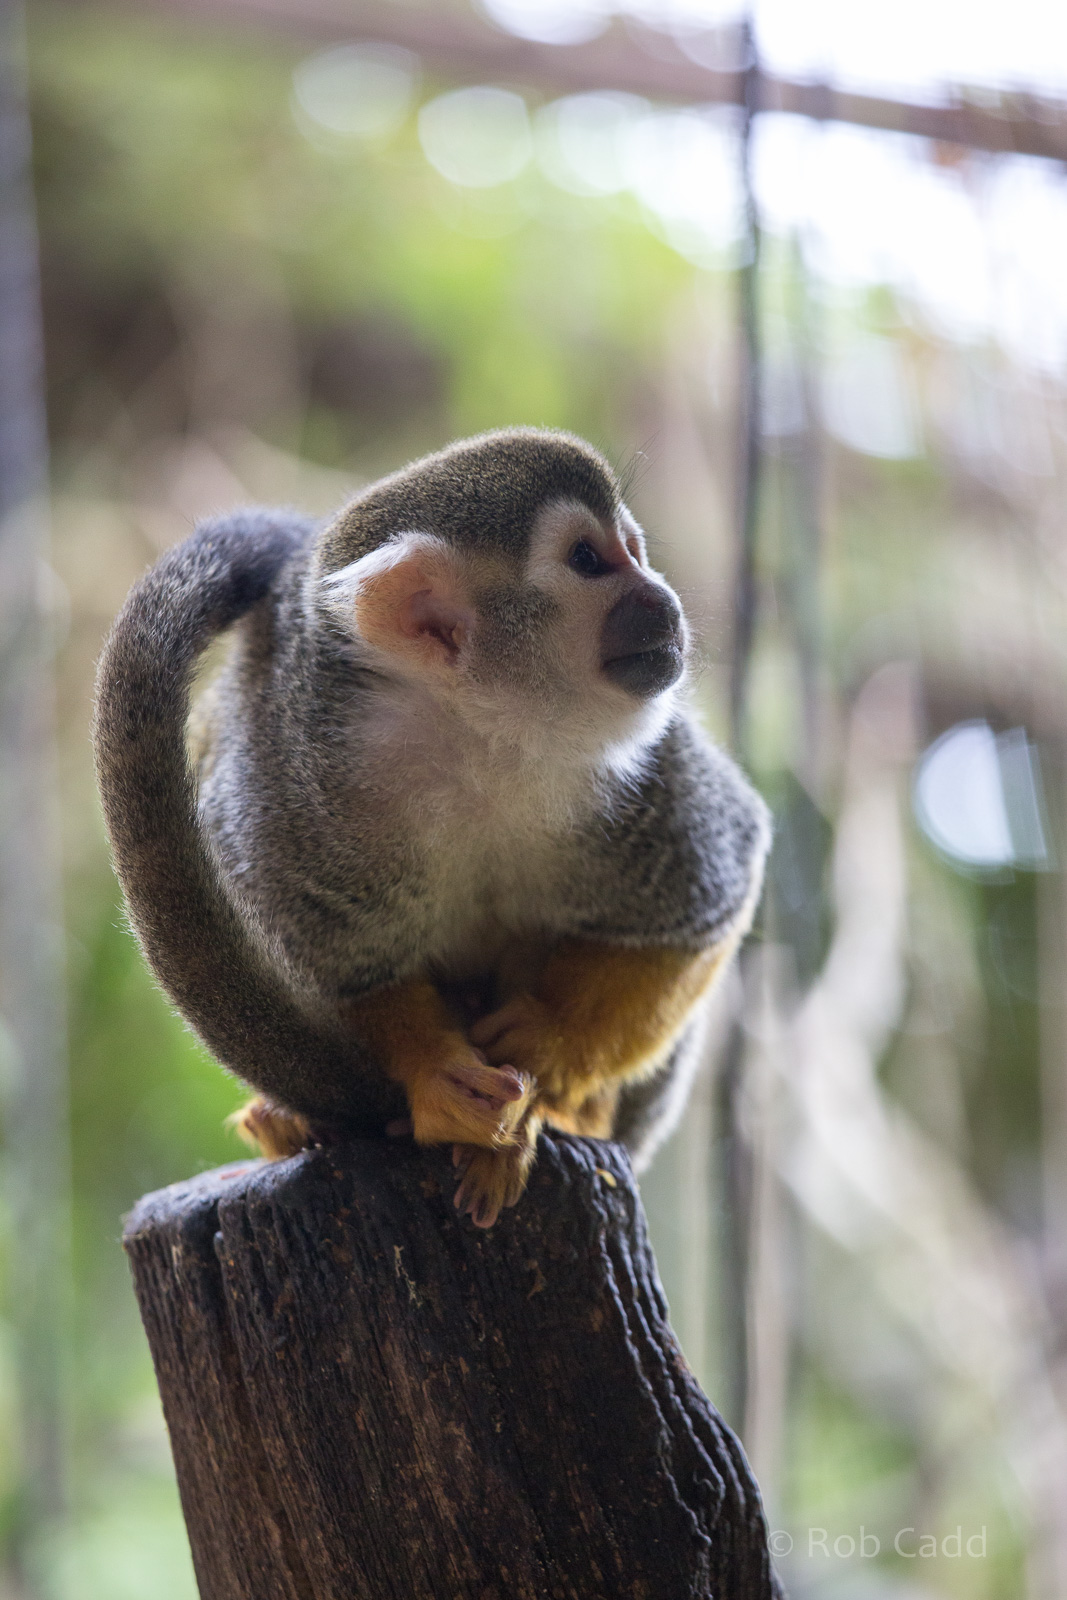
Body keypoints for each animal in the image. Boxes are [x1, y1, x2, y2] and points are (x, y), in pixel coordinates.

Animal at [93, 428, 769, 1227]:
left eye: (634, 550)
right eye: (587, 560)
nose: (660, 597)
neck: (478, 732)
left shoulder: (649, 766)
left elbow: (703, 908)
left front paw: (550, 1036)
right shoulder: (293, 777)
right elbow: (342, 969)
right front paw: (434, 1078)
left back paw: (569, 1113)